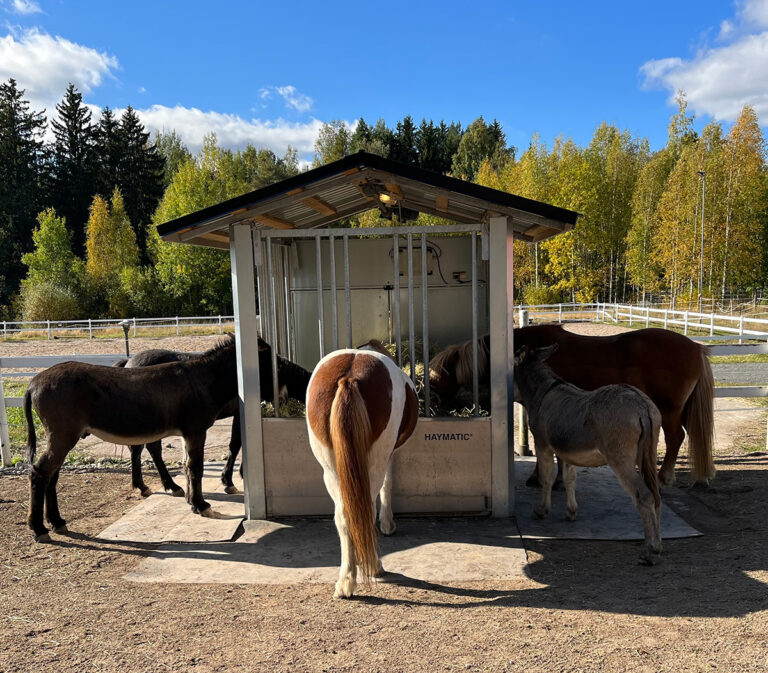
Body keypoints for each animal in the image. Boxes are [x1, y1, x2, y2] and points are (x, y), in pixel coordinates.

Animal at [25, 336, 237, 542]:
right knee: (40, 472)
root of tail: (33, 382)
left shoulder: (188, 433)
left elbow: (187, 465)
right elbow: (196, 466)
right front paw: (202, 505)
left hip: (62, 438)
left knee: (52, 474)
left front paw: (193, 503)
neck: (203, 379)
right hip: (62, 435)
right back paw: (39, 528)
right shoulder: (196, 430)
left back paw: (57, 522)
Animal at [115, 338, 311, 496]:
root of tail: (129, 362)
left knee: (139, 449)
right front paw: (229, 481)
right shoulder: (239, 414)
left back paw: (143, 486)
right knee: (151, 449)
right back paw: (171, 486)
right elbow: (235, 444)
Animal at [305, 340, 419, 598]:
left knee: (344, 516)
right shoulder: (388, 455)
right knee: (365, 509)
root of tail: (349, 377)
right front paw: (387, 524)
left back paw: (346, 581)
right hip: (374, 461)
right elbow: (388, 485)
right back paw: (375, 567)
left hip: (331, 468)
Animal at [429, 325, 714, 485]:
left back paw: (665, 476)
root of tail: (696, 347)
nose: (432, 402)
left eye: (436, 378)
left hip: (669, 409)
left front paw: (544, 479)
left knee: (675, 437)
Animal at [514, 344, 662, 565]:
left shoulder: (543, 446)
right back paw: (659, 544)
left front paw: (541, 511)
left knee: (643, 496)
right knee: (656, 494)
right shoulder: (567, 452)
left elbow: (546, 479)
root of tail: (641, 405)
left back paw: (650, 551)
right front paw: (571, 511)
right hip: (649, 454)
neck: (542, 392)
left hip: (621, 460)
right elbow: (569, 479)